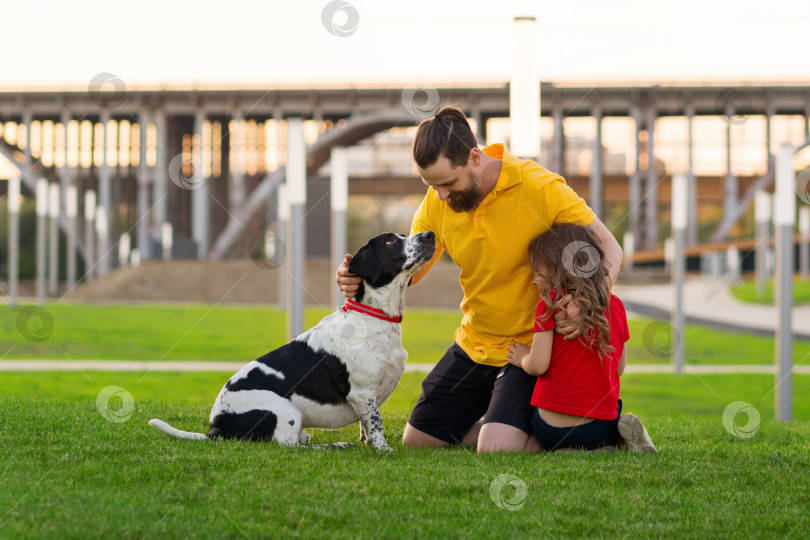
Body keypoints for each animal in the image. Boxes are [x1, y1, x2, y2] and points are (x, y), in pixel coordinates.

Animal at [148, 231, 432, 452]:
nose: (429, 235)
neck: (372, 318)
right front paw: (383, 449)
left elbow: (366, 425)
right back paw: (333, 445)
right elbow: (376, 424)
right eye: (389, 241)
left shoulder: (367, 398)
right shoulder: (363, 393)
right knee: (287, 444)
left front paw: (368, 443)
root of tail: (216, 427)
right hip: (286, 410)